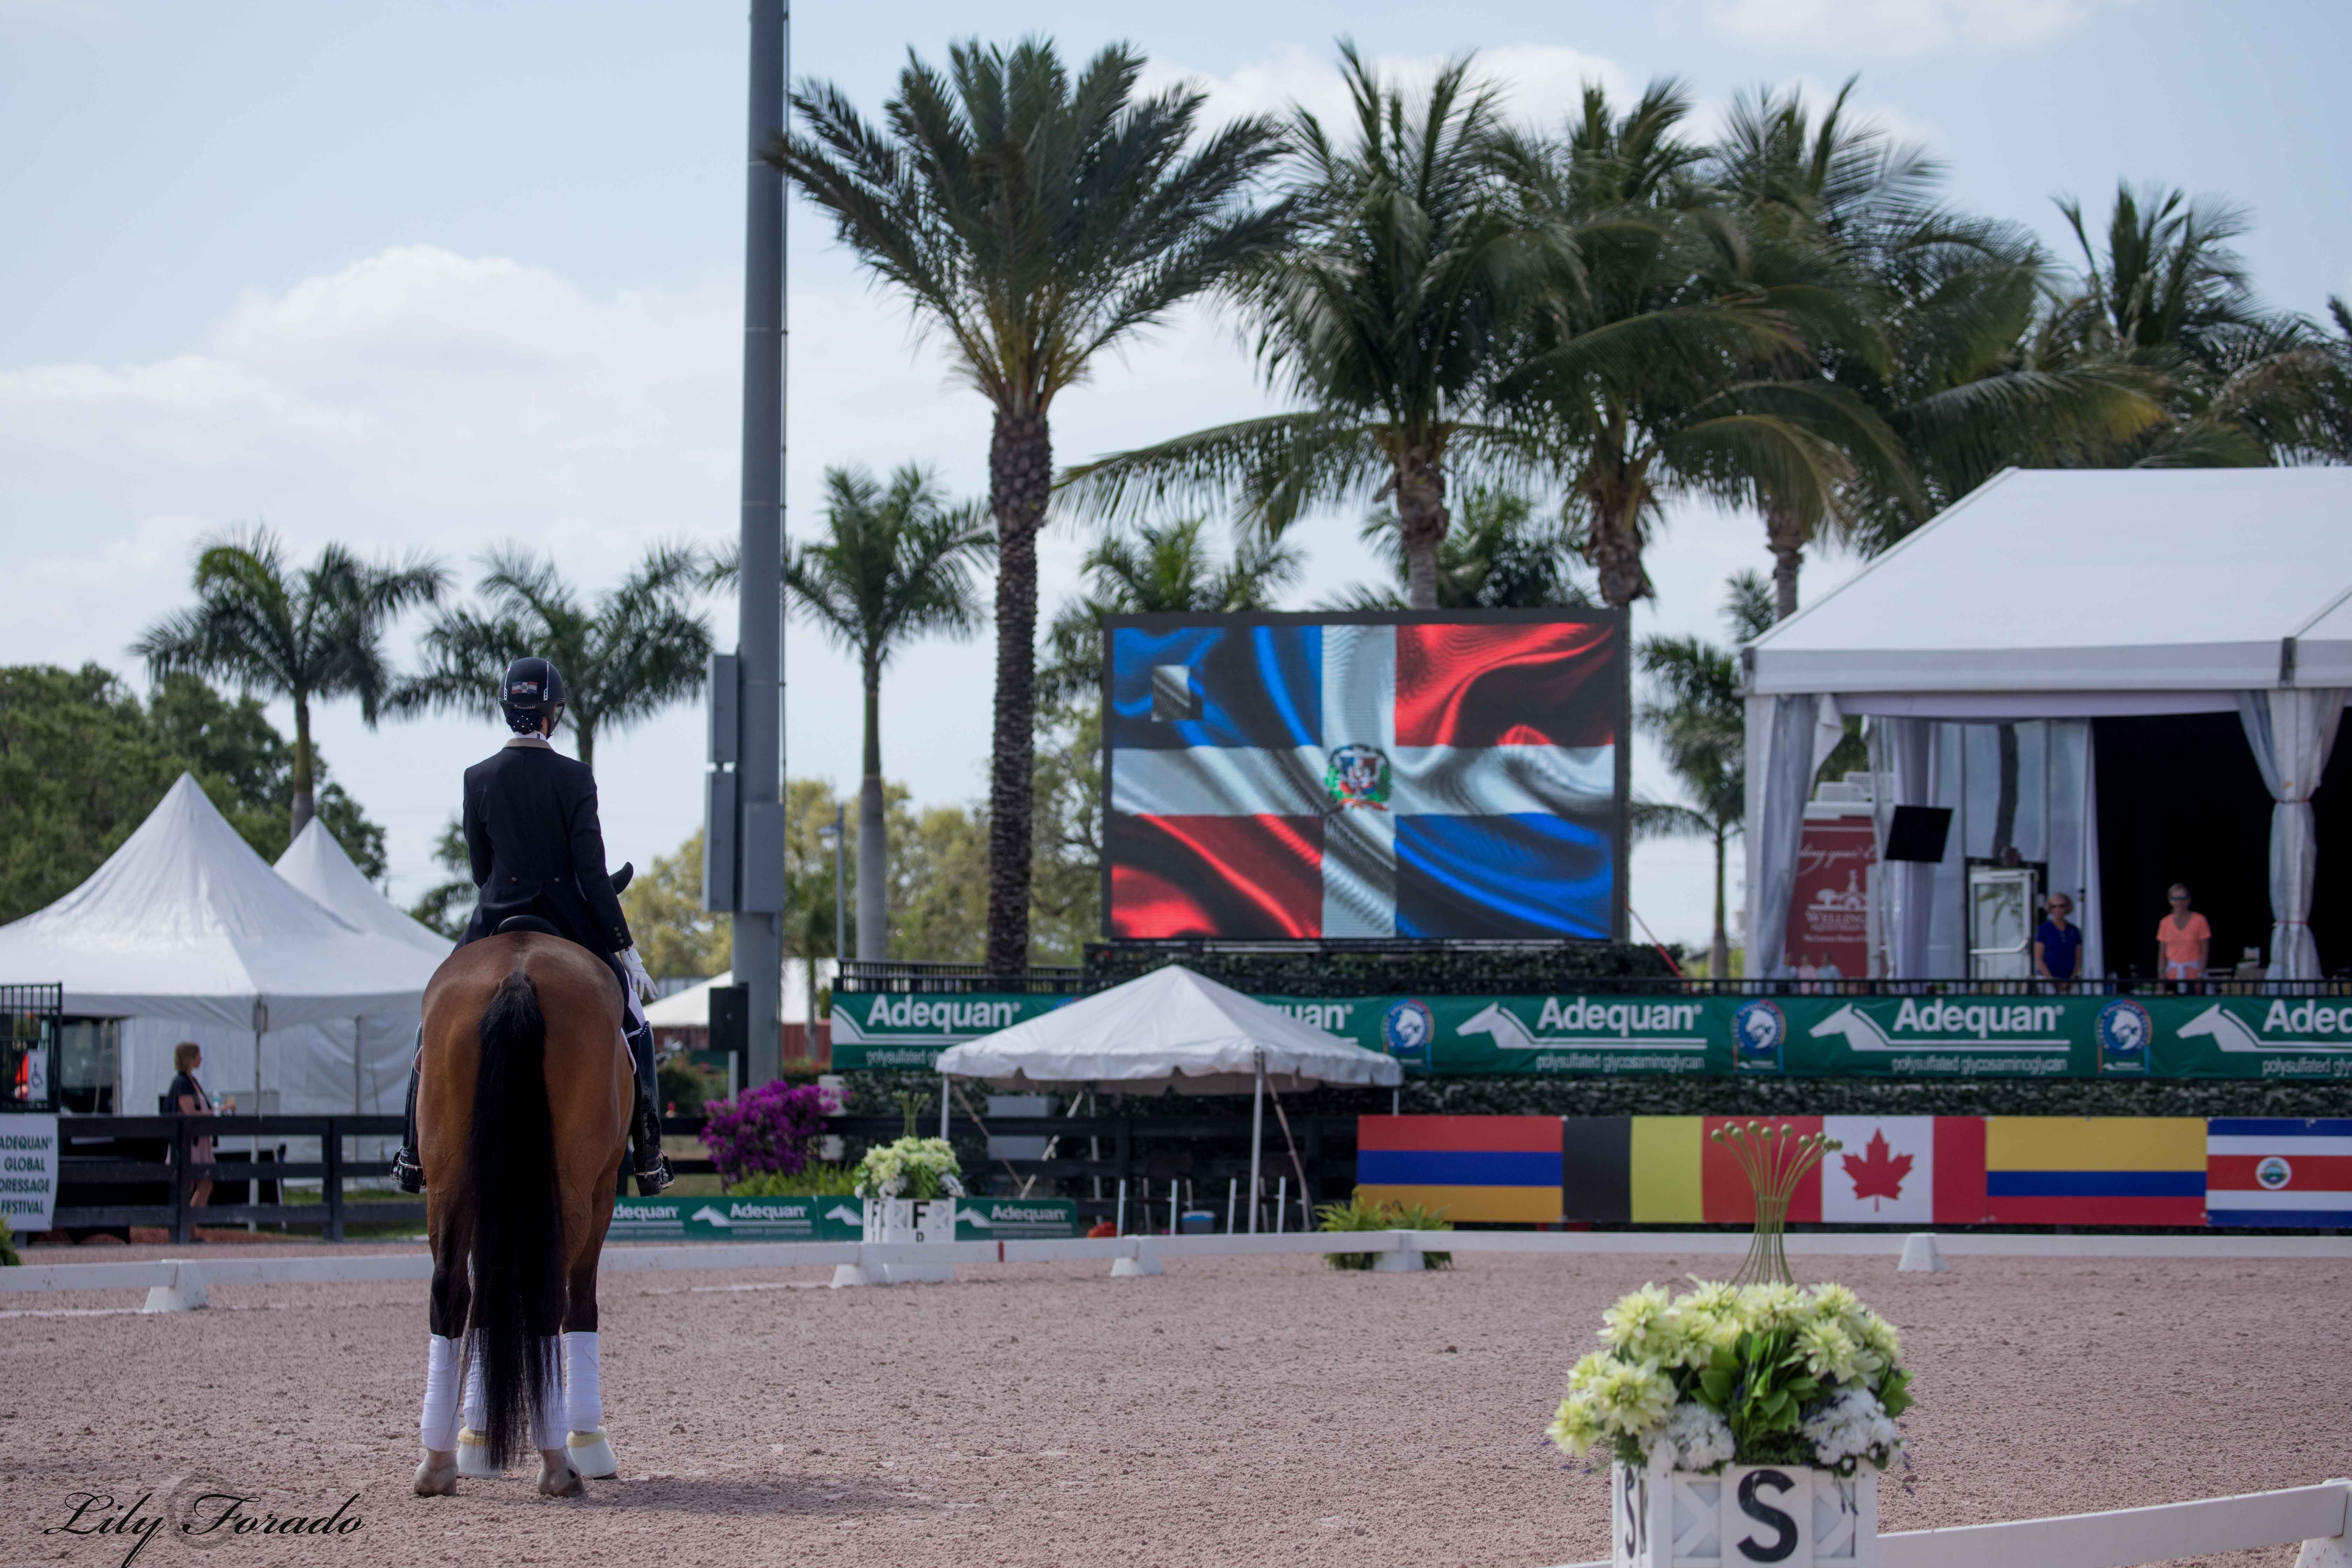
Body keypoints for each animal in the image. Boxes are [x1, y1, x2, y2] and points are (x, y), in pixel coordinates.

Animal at [412, 926, 635, 1504]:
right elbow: (581, 1305)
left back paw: (438, 1462)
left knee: (450, 1293)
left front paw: (476, 1441)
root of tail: (516, 975)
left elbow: (486, 1299)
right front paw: (589, 1440)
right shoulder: (602, 1190)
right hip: (573, 1191)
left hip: (452, 1179)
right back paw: (560, 1463)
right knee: (545, 1296)